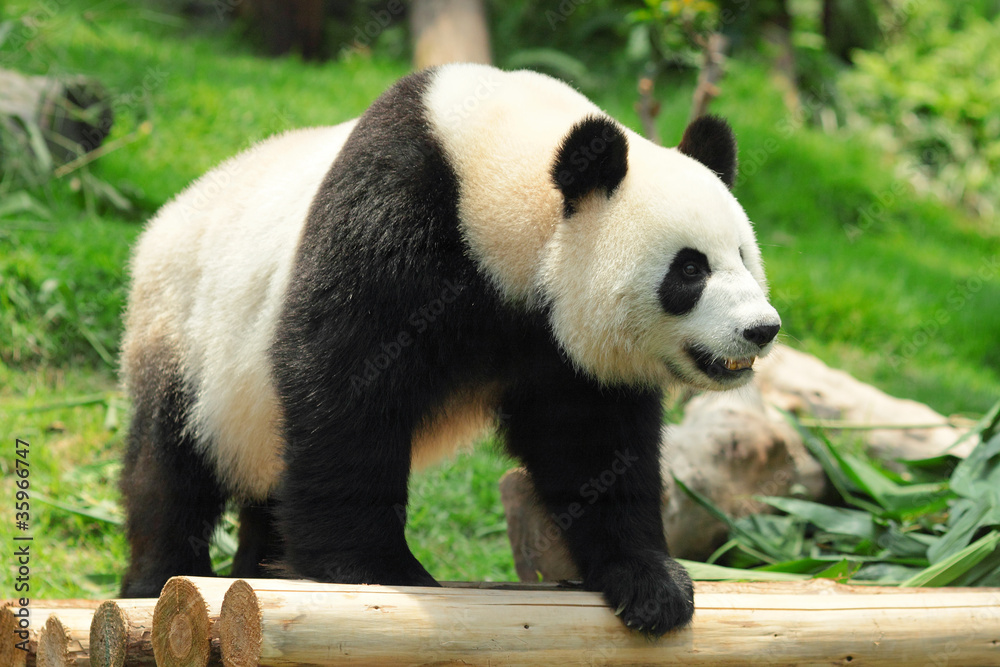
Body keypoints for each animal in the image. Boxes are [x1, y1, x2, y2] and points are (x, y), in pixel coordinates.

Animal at [119, 63, 780, 636]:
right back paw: (157, 581)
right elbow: (343, 380)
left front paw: (651, 583)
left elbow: (592, 441)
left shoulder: (558, 348)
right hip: (184, 330)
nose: (761, 329)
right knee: (170, 470)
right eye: (689, 269)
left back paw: (264, 568)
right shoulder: (396, 212)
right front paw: (372, 571)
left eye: (744, 256)